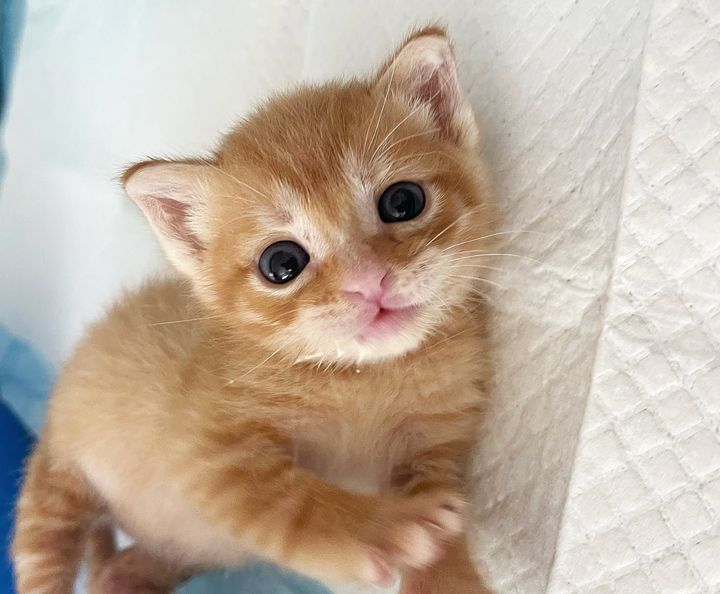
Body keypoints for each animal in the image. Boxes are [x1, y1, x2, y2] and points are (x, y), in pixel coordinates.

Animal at [12, 26, 496, 592]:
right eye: (282, 263)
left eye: (403, 202)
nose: (368, 282)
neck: (365, 377)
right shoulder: (205, 451)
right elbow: (289, 504)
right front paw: (381, 527)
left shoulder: (439, 446)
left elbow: (441, 515)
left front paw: (452, 573)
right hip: (55, 484)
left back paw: (125, 571)